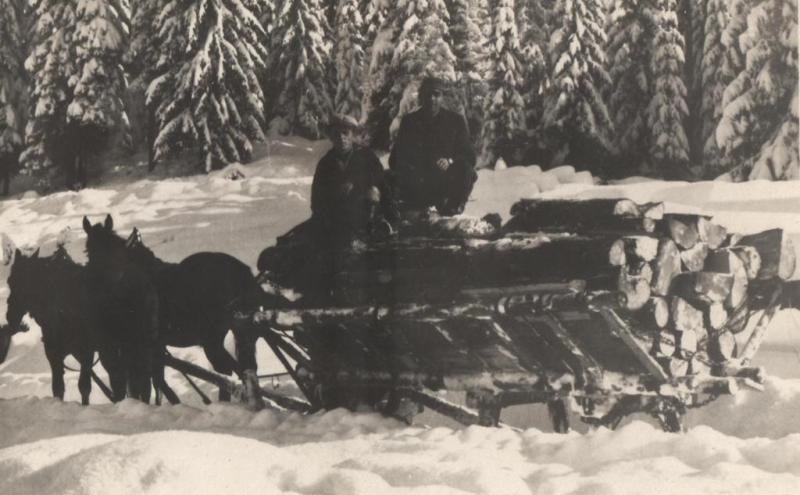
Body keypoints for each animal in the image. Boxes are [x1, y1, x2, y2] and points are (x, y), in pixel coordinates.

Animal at [2, 246, 119, 404]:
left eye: (31, 282)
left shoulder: (86, 352)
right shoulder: (54, 353)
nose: (11, 316)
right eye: (10, 281)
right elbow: (58, 388)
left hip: (109, 349)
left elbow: (84, 387)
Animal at [123, 227, 276, 408]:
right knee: (244, 370)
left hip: (213, 342)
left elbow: (146, 385)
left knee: (229, 371)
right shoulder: (153, 349)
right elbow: (154, 383)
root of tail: (240, 269)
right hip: (238, 334)